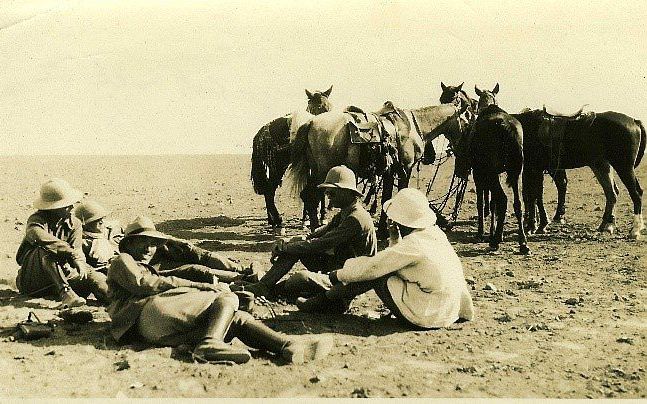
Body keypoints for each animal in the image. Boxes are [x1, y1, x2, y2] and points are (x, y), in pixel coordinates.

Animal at [252, 85, 334, 232]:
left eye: (328, 106)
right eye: (316, 106)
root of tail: (261, 132)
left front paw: (318, 217)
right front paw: (310, 218)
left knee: (268, 190)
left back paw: (273, 221)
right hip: (278, 166)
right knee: (269, 190)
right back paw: (278, 221)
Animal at [292, 101, 468, 238]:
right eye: (466, 123)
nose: (461, 149)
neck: (412, 127)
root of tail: (311, 123)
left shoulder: (390, 171)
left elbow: (386, 198)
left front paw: (383, 230)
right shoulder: (405, 169)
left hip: (315, 170)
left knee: (308, 196)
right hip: (322, 171)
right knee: (312, 196)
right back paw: (315, 228)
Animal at [454, 83, 528, 254]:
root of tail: (507, 128)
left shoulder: (479, 173)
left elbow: (481, 201)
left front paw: (482, 233)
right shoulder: (496, 173)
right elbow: (492, 202)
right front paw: (492, 232)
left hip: (491, 172)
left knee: (503, 199)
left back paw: (496, 240)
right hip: (514, 171)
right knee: (517, 203)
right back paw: (522, 242)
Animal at [512, 107, 644, 240]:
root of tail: (634, 121)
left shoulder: (535, 169)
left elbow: (534, 195)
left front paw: (535, 226)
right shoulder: (530, 170)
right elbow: (530, 195)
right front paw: (534, 225)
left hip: (623, 167)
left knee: (636, 193)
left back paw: (634, 230)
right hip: (600, 166)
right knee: (611, 193)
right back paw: (606, 225)